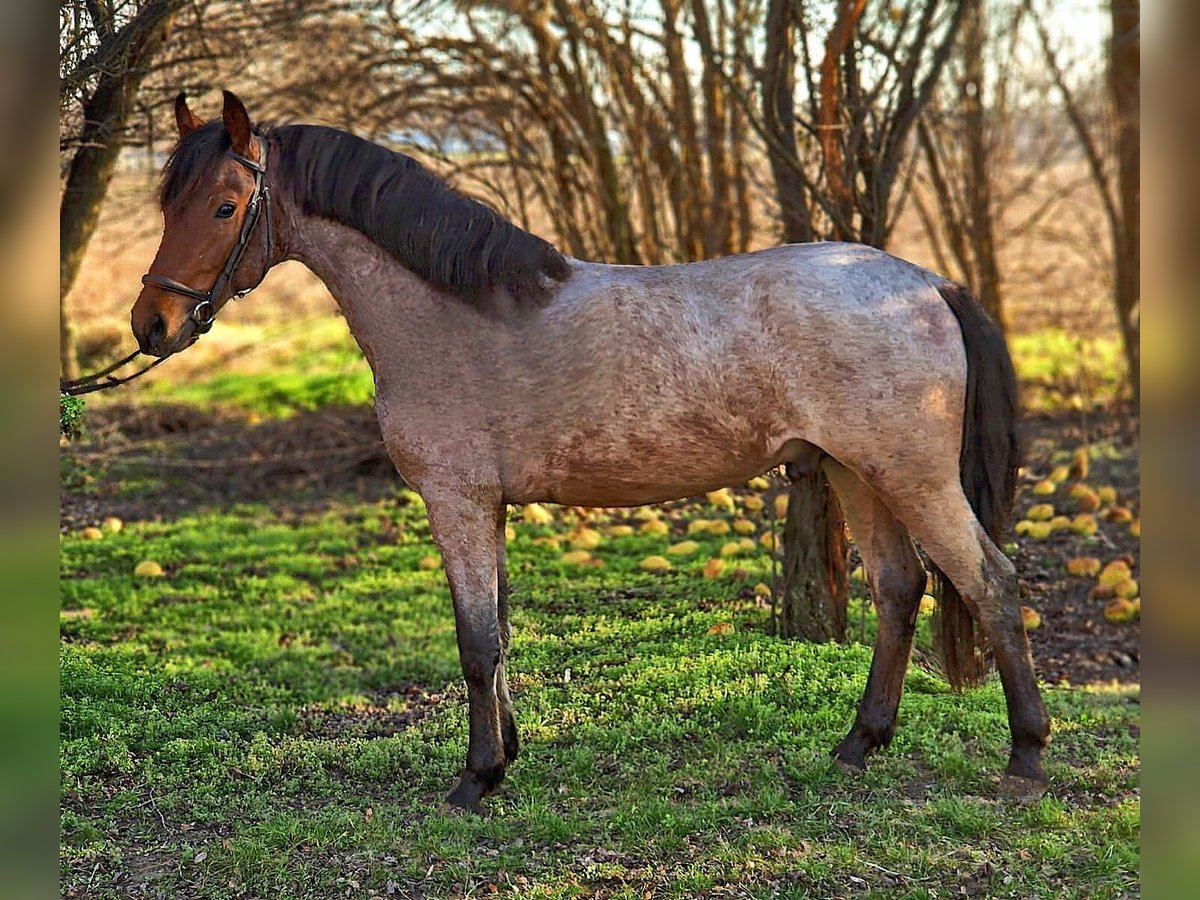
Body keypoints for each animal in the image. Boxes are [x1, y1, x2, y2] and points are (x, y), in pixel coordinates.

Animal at [131, 93, 1051, 816]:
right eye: (169, 205)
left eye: (223, 207)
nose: (151, 326)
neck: (448, 313)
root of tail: (926, 282)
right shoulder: (489, 506)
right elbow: (498, 632)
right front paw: (504, 757)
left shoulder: (456, 499)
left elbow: (474, 641)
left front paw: (474, 779)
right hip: (856, 473)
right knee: (900, 591)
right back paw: (860, 743)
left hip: (912, 476)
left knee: (991, 585)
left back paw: (1026, 758)